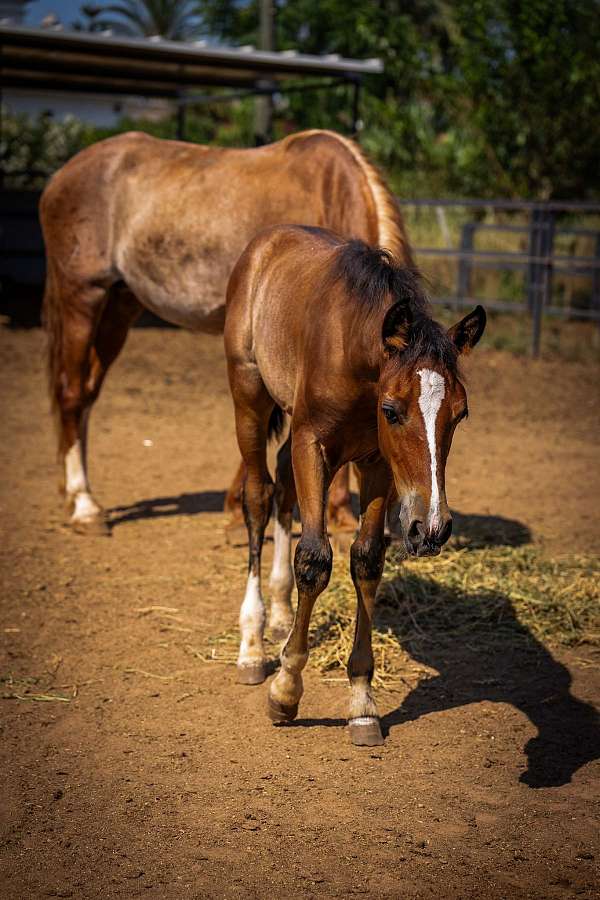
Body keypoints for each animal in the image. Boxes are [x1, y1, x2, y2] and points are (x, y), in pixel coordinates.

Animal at [40, 128, 413, 537]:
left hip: (120, 304)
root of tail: (61, 176)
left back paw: (75, 492)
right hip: (83, 296)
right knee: (71, 392)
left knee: (87, 394)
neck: (331, 198)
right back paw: (83, 504)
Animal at [224, 225, 486, 746]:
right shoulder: (312, 445)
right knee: (259, 497)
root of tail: (266, 241)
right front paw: (286, 689)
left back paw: (280, 612)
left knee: (282, 491)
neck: (354, 355)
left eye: (461, 413)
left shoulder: (377, 464)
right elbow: (314, 558)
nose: (432, 528)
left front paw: (363, 703)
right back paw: (253, 645)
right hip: (249, 399)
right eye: (392, 410)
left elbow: (366, 559)